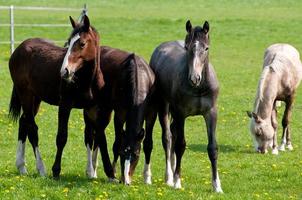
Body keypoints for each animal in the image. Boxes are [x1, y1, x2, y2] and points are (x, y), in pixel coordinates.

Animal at [7, 14, 112, 178]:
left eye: (82, 43)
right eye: (68, 43)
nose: (65, 71)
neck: (86, 80)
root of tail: (18, 49)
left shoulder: (90, 108)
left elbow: (89, 136)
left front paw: (91, 172)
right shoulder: (65, 105)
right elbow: (61, 137)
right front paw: (56, 170)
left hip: (35, 98)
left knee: (24, 122)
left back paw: (22, 167)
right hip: (25, 95)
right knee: (32, 128)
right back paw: (41, 168)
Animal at [145, 19, 223, 192]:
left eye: (206, 48)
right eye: (187, 48)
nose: (195, 78)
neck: (199, 88)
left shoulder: (211, 113)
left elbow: (212, 148)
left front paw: (217, 186)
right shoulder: (181, 113)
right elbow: (180, 145)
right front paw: (177, 182)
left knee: (172, 134)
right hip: (162, 107)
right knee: (166, 138)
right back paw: (166, 177)